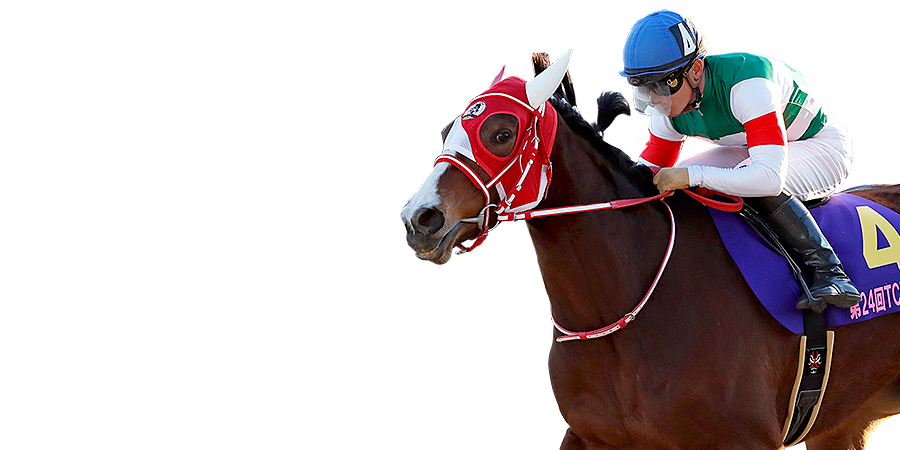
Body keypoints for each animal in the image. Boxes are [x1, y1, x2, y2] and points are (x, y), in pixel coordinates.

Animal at [400, 51, 900, 449]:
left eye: (501, 134)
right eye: (452, 127)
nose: (420, 219)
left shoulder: (746, 438)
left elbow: (765, 174)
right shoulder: (592, 435)